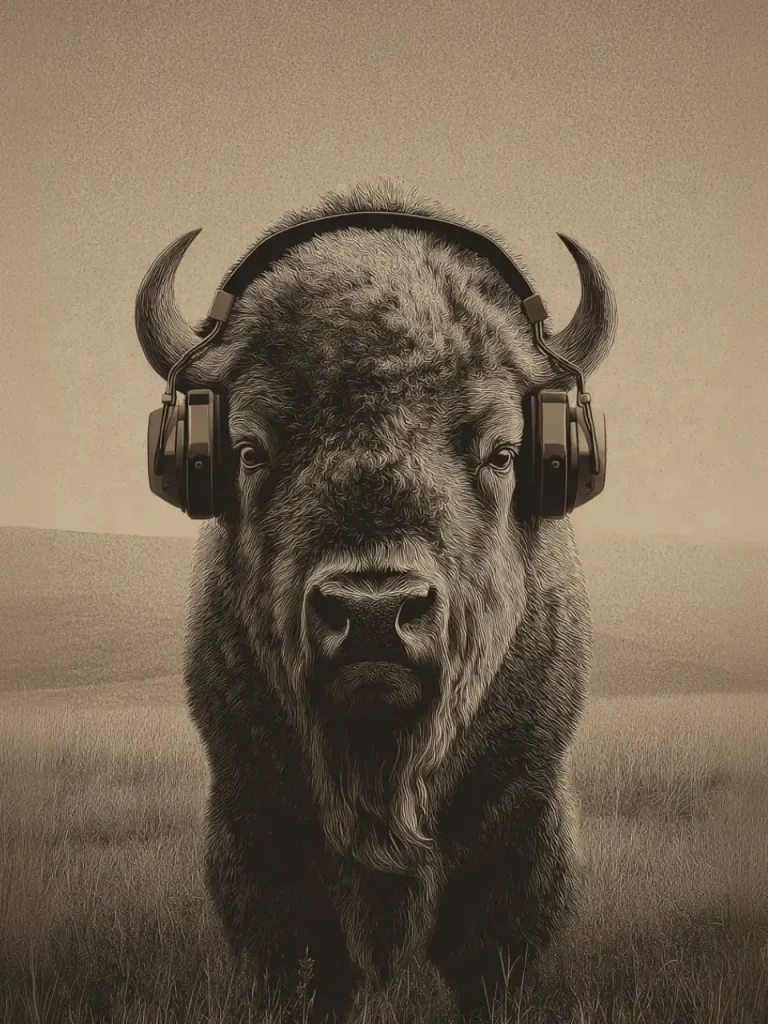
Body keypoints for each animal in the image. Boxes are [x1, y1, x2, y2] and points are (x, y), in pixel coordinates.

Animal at [134, 181, 617, 1022]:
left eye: (503, 451)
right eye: (249, 448)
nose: (371, 614)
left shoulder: (523, 820)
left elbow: (488, 957)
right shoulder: (253, 822)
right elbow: (306, 964)